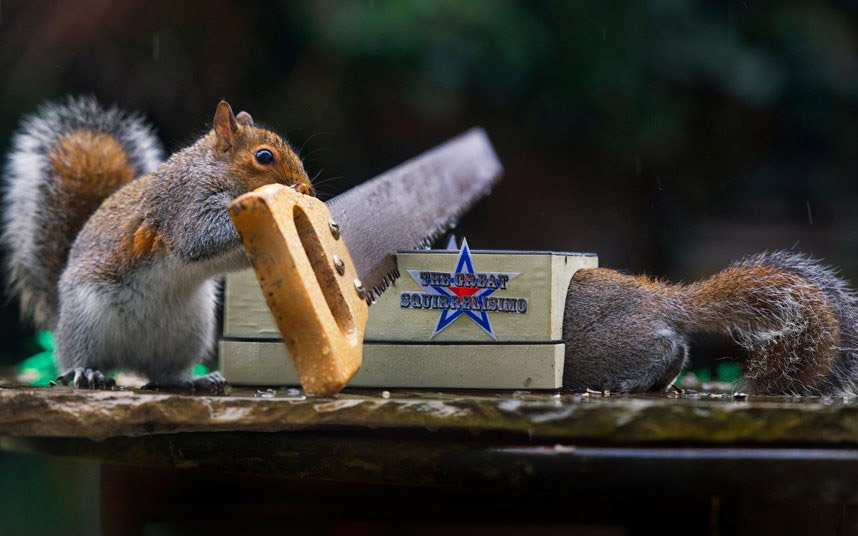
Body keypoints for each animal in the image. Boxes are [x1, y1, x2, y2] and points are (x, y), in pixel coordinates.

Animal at [2, 96, 310, 392]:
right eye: (264, 156)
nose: (308, 188)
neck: (212, 169)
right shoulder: (184, 205)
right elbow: (202, 234)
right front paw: (288, 194)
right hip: (86, 318)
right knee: (78, 356)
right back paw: (86, 371)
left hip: (189, 332)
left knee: (164, 374)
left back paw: (196, 380)